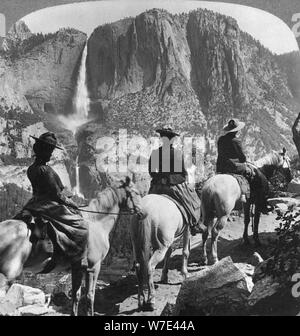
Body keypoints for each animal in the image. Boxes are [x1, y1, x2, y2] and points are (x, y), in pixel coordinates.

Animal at [0, 181, 132, 316]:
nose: (137, 211)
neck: (96, 222)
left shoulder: (77, 268)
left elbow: (76, 295)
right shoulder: (93, 267)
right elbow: (90, 296)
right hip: (7, 275)